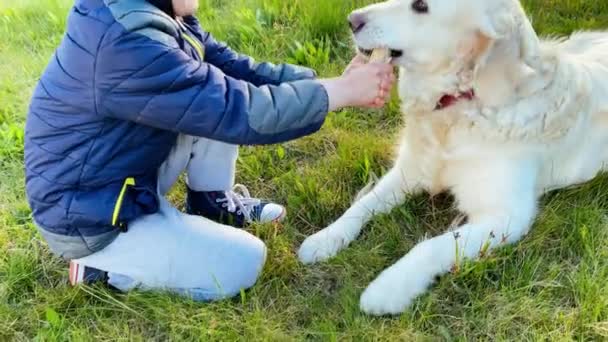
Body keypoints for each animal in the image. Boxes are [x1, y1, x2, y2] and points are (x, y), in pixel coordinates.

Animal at [296, 0, 608, 316]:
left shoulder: (506, 216)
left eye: (421, 6)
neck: (459, 105)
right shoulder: (409, 170)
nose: (352, 20)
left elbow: (431, 246)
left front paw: (388, 288)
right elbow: (362, 204)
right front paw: (326, 238)